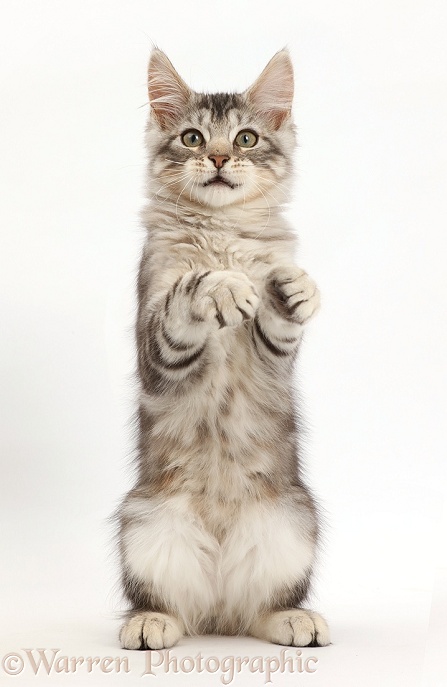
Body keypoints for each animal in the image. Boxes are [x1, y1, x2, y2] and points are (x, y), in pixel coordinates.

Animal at [117, 48, 330, 652]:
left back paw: (294, 620)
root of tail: (218, 611)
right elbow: (190, 289)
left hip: (293, 524)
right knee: (166, 603)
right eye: (192, 138)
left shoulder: (274, 355)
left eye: (246, 139)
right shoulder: (154, 342)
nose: (216, 157)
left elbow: (281, 315)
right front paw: (224, 286)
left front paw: (295, 287)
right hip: (144, 526)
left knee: (263, 606)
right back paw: (149, 623)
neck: (222, 228)